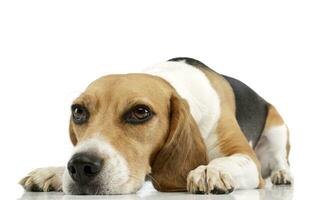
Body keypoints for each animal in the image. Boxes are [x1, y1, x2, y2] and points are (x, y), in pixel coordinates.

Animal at [20, 57, 292, 194]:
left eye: (141, 112)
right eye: (78, 111)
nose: (80, 165)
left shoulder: (245, 157)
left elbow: (227, 161)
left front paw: (209, 170)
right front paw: (53, 172)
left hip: (277, 128)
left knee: (280, 159)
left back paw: (282, 174)